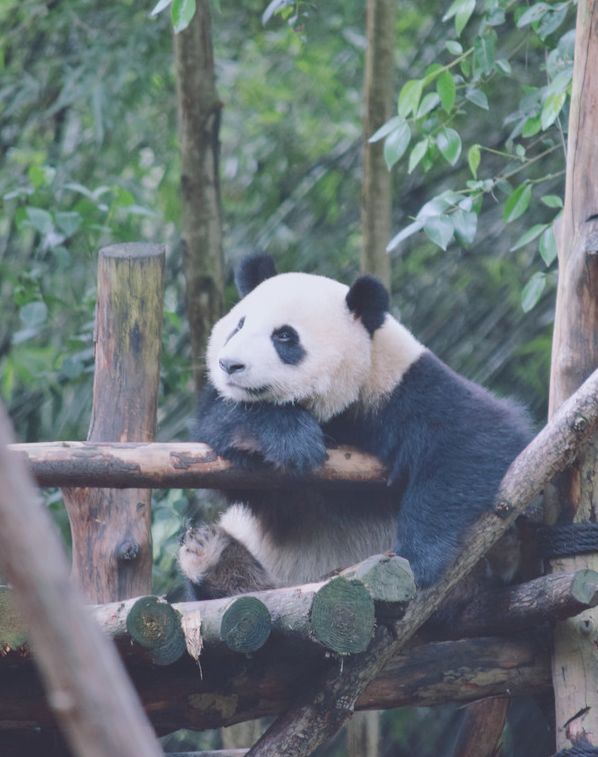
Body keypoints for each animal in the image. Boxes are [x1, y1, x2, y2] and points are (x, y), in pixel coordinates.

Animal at [179, 254, 536, 596]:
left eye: (284, 336)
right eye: (238, 326)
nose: (229, 364)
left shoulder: (404, 390)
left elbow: (478, 438)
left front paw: (416, 560)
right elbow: (222, 423)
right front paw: (293, 441)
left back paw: (507, 551)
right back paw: (211, 557)